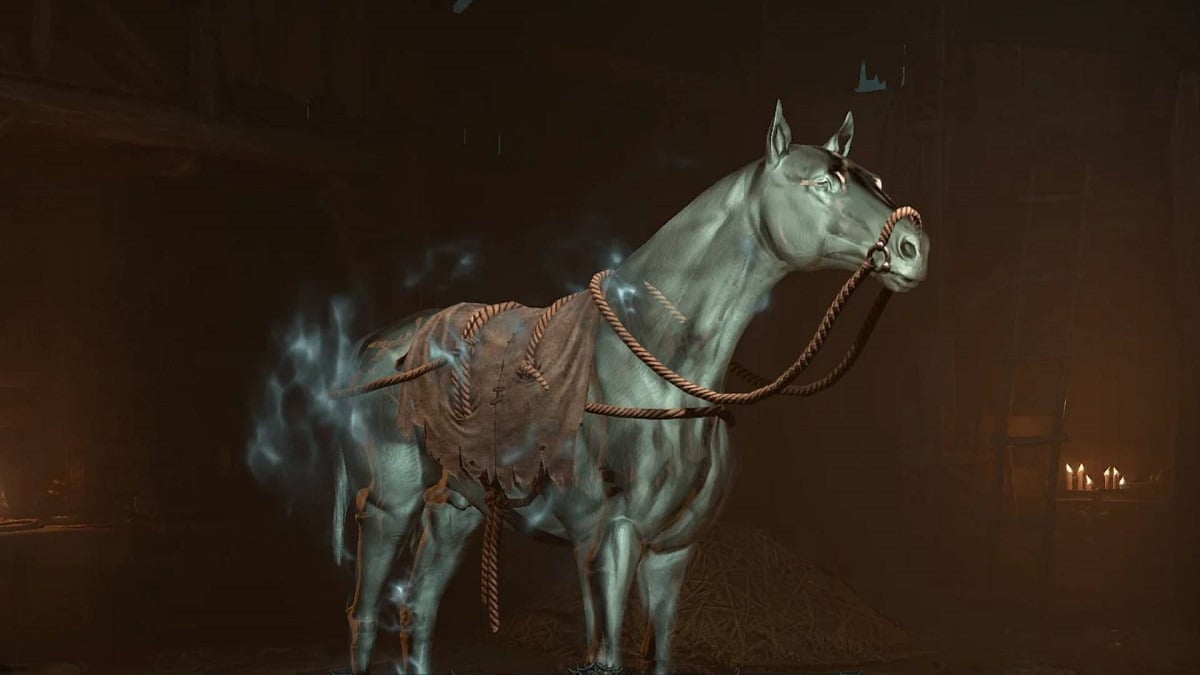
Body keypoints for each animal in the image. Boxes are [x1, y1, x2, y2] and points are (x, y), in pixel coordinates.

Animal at [336, 100, 929, 674]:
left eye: (875, 179)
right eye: (823, 183)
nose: (913, 247)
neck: (657, 364)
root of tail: (377, 344)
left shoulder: (673, 552)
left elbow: (658, 654)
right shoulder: (605, 542)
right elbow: (606, 654)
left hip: (456, 508)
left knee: (418, 609)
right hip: (391, 506)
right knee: (365, 614)